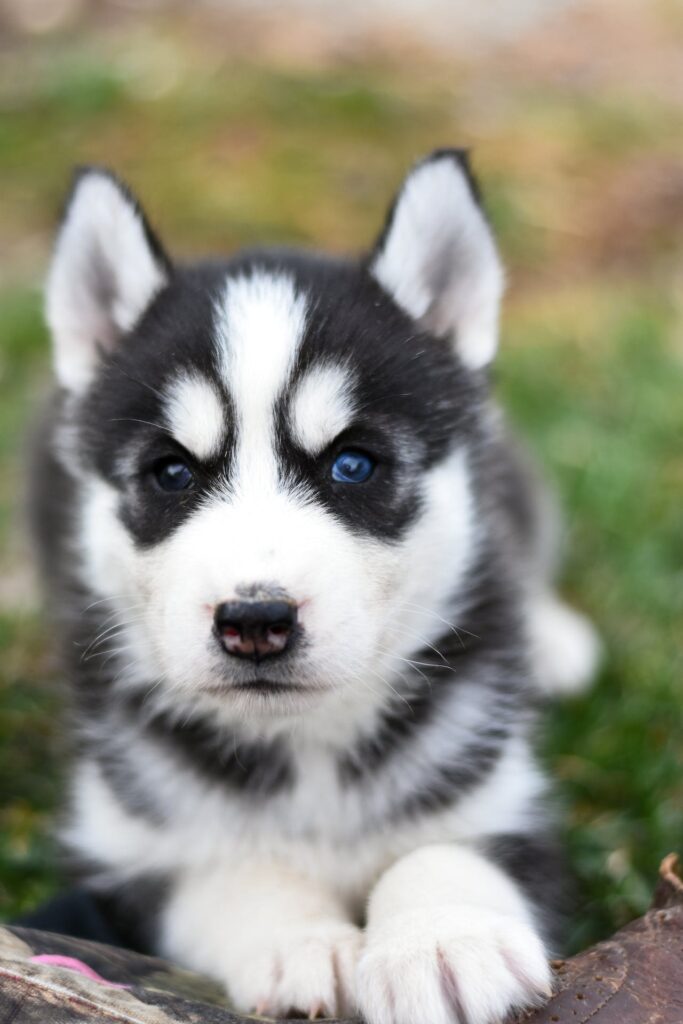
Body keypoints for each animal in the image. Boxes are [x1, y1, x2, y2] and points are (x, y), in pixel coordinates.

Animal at [31, 151, 598, 1024]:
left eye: (352, 463)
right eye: (171, 472)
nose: (254, 620)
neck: (305, 751)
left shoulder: (502, 795)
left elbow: (442, 849)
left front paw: (442, 939)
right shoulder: (128, 850)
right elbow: (228, 873)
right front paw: (300, 941)